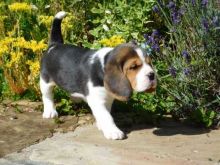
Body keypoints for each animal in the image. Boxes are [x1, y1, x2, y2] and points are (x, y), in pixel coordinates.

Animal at [39, 11, 156, 140]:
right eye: (133, 67)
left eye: (149, 63)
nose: (152, 75)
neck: (102, 67)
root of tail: (55, 45)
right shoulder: (97, 99)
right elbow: (106, 116)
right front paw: (113, 131)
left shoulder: (107, 98)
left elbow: (106, 112)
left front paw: (102, 125)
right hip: (45, 81)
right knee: (47, 96)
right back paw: (50, 112)